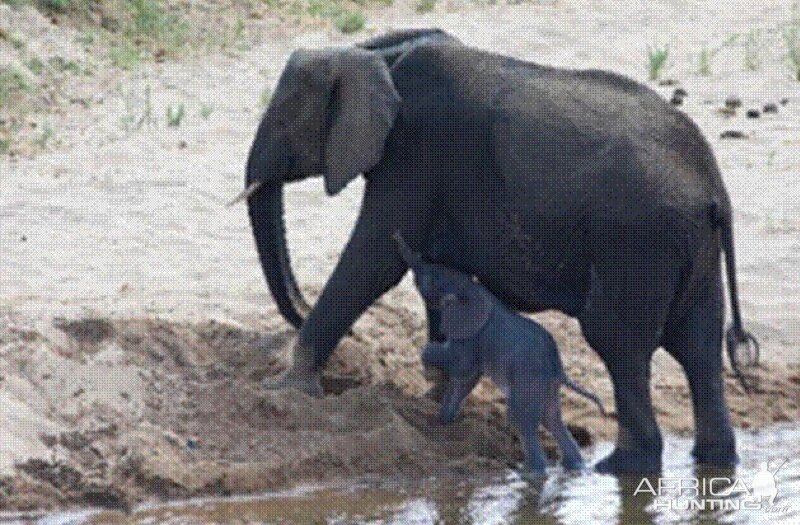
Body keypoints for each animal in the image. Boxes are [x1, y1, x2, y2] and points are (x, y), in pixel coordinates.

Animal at [394, 231, 608, 472]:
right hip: (547, 385)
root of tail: (559, 369)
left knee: (522, 420)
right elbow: (466, 379)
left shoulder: (472, 335)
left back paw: (532, 473)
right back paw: (576, 467)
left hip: (529, 380)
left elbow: (460, 366)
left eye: (430, 275)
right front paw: (443, 420)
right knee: (552, 419)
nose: (396, 234)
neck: (470, 289)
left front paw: (430, 371)